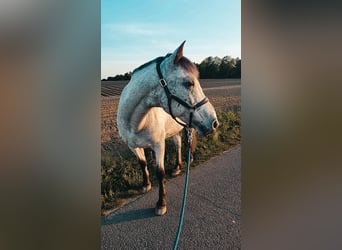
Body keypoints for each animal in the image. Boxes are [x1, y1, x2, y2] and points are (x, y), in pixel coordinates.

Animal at [117, 41, 219, 215]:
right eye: (189, 83)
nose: (214, 123)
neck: (135, 123)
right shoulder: (133, 146)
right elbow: (142, 163)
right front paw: (146, 185)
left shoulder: (159, 145)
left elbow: (160, 172)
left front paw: (161, 203)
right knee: (178, 145)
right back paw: (177, 168)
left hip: (189, 127)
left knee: (186, 144)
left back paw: (189, 159)